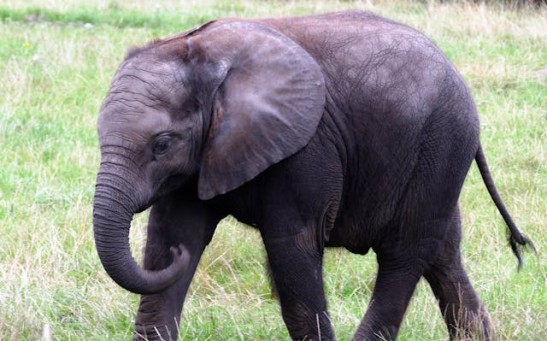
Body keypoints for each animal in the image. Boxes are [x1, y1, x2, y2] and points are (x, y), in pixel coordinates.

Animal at [92, 10, 532, 340]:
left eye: (161, 144)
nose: (182, 259)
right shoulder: (202, 156)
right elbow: (172, 233)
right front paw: (178, 250)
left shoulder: (306, 148)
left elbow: (293, 248)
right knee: (442, 253)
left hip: (440, 144)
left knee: (404, 253)